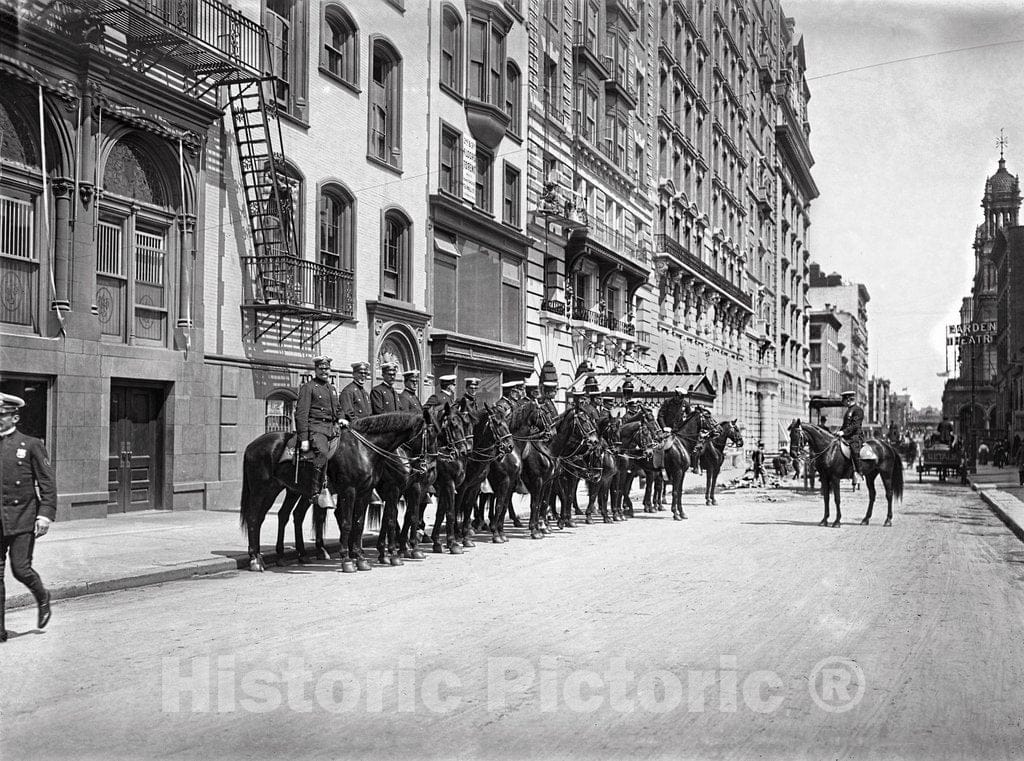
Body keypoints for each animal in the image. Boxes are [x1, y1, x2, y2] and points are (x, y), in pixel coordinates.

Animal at [239, 411, 428, 573]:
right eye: (429, 433)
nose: (424, 467)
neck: (364, 449)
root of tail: (251, 445)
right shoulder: (354, 490)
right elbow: (349, 522)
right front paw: (348, 560)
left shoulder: (366, 492)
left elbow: (360, 523)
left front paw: (361, 558)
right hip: (262, 489)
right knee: (254, 518)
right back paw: (255, 560)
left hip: (288, 489)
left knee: (281, 515)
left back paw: (278, 556)